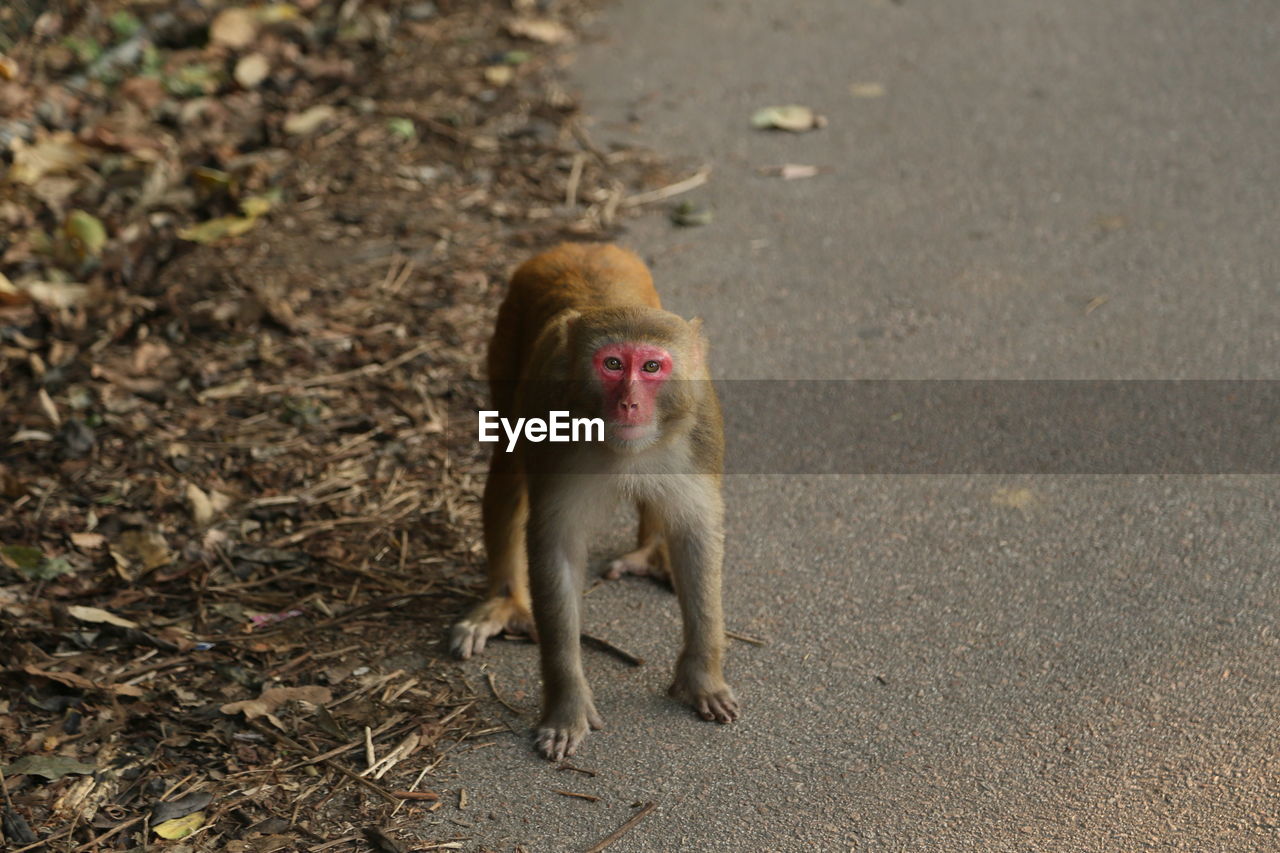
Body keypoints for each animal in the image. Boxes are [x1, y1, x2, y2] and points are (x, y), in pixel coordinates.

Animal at [450, 239, 737, 758]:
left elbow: (696, 534)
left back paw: (650, 552)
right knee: (508, 464)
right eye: (612, 364)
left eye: (651, 366)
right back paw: (503, 600)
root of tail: (579, 244)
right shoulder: (550, 422)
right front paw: (566, 706)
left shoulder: (701, 426)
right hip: (505, 343)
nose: (629, 403)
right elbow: (556, 548)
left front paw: (701, 677)